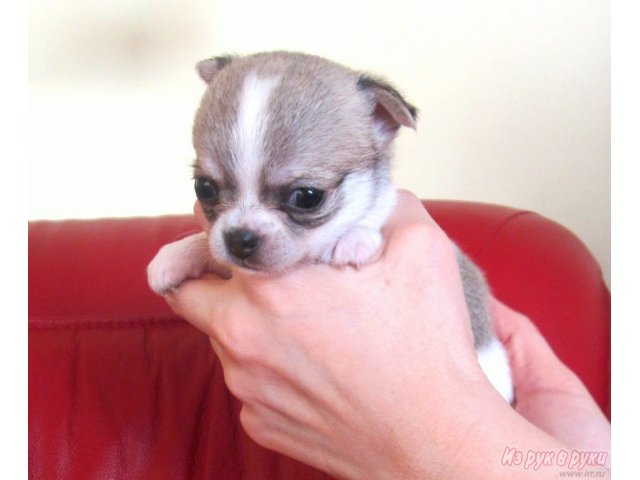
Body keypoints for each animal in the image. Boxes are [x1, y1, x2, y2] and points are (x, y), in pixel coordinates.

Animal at [148, 52, 512, 404]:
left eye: (307, 197)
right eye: (204, 187)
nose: (240, 239)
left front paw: (353, 239)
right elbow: (209, 246)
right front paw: (174, 256)